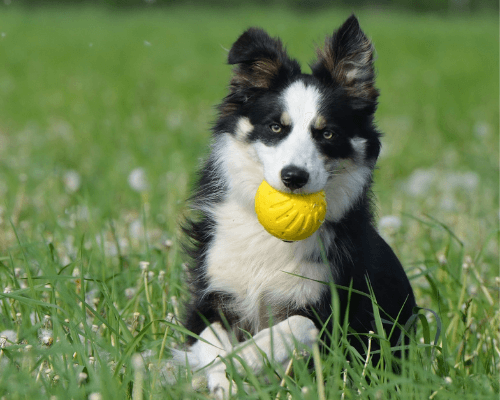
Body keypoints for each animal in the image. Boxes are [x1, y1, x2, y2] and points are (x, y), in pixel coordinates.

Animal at [178, 14, 416, 396]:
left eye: (328, 133)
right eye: (276, 127)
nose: (294, 177)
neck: (268, 237)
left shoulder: (332, 314)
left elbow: (295, 327)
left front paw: (244, 359)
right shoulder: (210, 295)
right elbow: (209, 338)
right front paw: (221, 375)